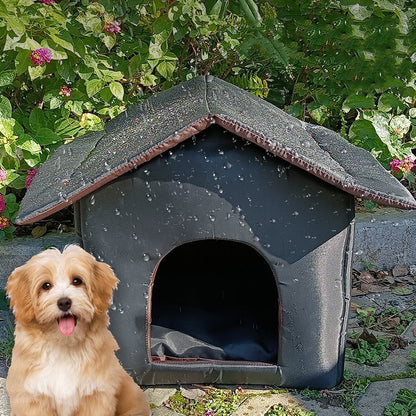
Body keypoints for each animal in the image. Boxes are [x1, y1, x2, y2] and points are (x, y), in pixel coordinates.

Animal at [6, 244, 150, 416]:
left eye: (77, 281)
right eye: (46, 285)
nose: (64, 302)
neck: (64, 345)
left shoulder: (96, 395)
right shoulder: (32, 397)